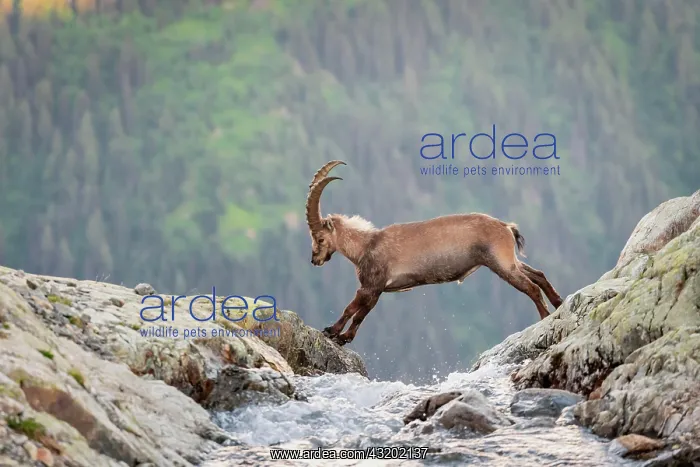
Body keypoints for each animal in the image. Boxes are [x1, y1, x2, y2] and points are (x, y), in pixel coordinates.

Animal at [306, 160, 564, 346]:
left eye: (320, 238)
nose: (314, 259)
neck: (366, 246)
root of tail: (506, 227)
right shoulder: (377, 290)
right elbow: (362, 314)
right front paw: (345, 337)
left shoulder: (371, 285)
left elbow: (352, 309)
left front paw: (332, 331)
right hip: (508, 261)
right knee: (538, 274)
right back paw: (559, 303)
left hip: (501, 263)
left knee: (530, 287)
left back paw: (545, 316)